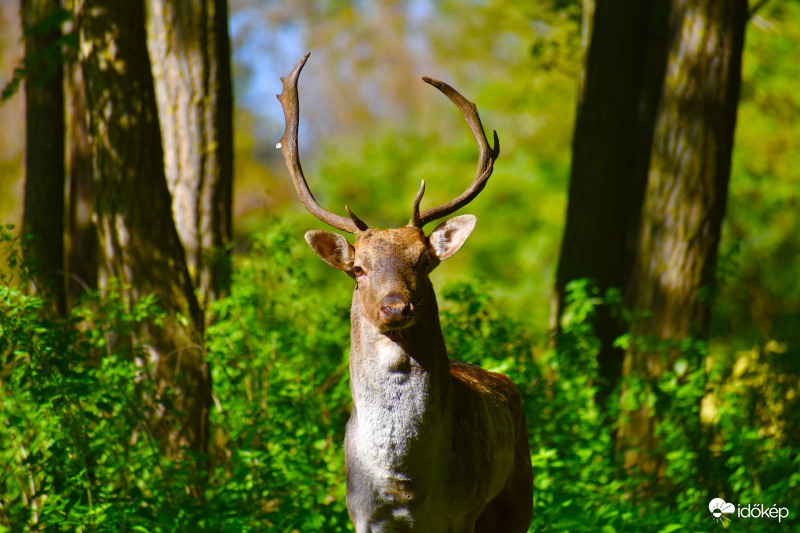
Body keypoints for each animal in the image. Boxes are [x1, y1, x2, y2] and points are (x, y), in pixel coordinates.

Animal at [276, 54, 532, 532]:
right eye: (357, 268)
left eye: (425, 260)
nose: (395, 307)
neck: (406, 488)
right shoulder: (361, 513)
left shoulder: (460, 512)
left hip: (517, 497)